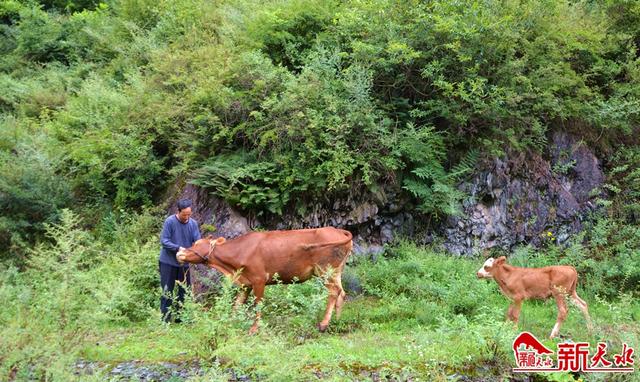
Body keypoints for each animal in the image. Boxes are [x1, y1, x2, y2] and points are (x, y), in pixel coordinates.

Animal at [178, 227, 352, 334]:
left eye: (197, 243)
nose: (180, 253)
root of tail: (337, 230)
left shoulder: (259, 279)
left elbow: (257, 305)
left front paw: (254, 329)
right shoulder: (245, 284)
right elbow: (237, 305)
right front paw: (229, 322)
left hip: (325, 270)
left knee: (334, 291)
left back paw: (323, 324)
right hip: (336, 271)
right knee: (342, 292)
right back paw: (337, 320)